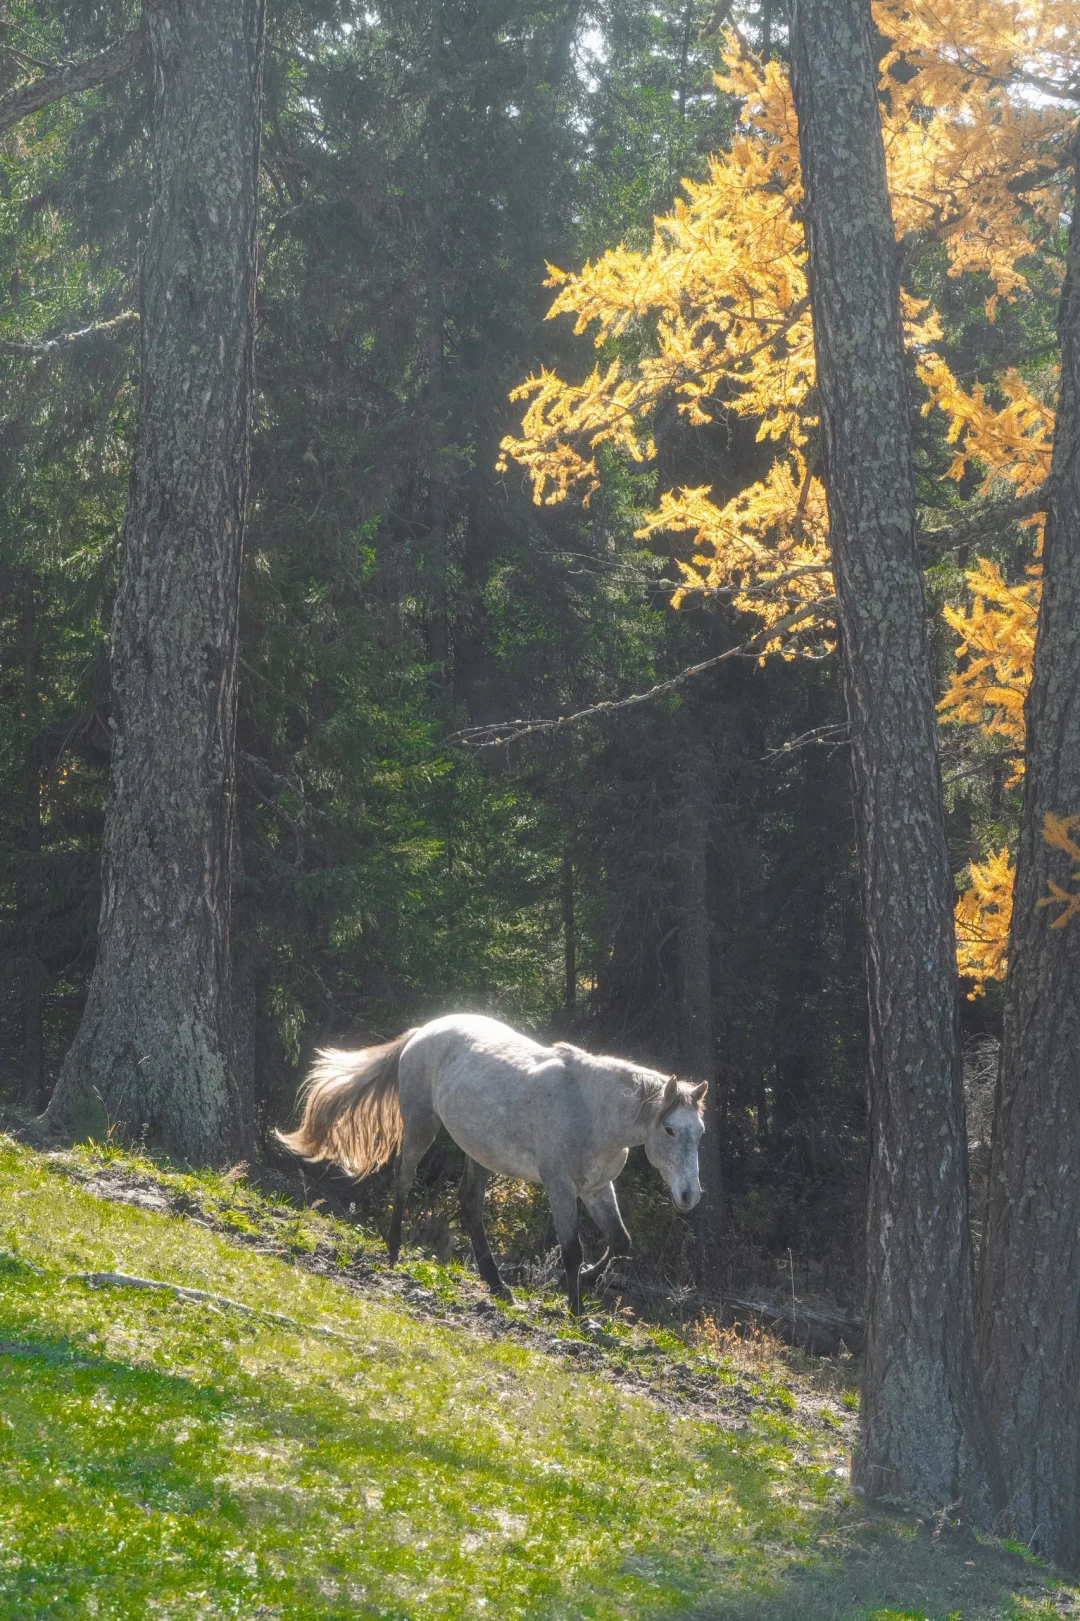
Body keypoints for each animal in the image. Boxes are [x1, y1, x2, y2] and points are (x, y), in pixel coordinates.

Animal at [275, 1011, 707, 1316]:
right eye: (670, 1130)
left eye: (699, 1131)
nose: (689, 1196)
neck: (591, 1109)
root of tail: (422, 1032)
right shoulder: (560, 1187)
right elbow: (572, 1249)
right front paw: (575, 1312)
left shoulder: (598, 1188)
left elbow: (620, 1241)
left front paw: (583, 1282)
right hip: (421, 1125)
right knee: (404, 1178)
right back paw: (395, 1251)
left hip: (478, 1150)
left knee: (470, 1203)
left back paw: (497, 1285)